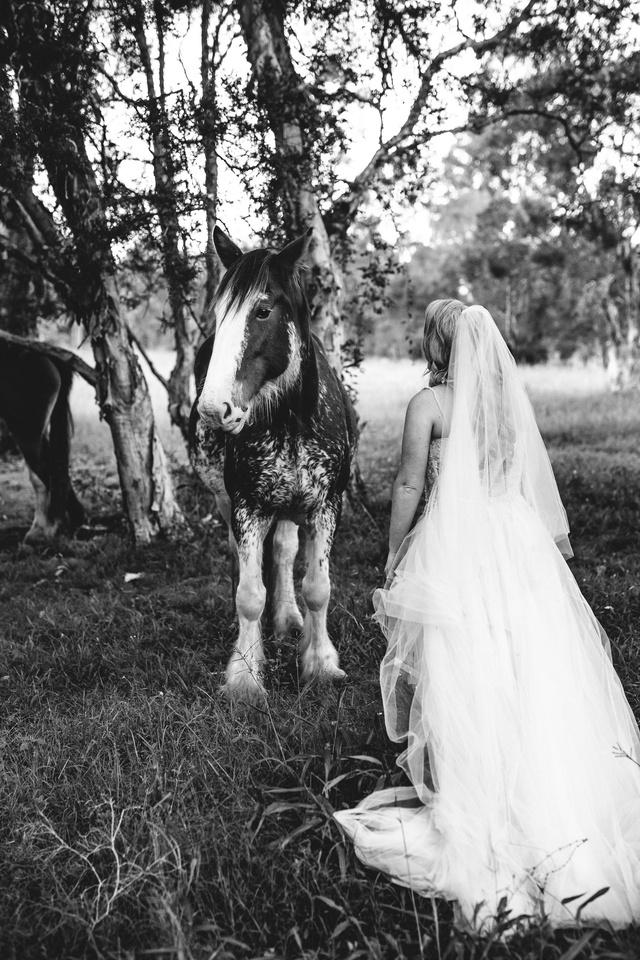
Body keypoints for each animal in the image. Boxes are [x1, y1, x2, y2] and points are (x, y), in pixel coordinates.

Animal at [189, 225, 356, 701]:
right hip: (228, 501)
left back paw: (286, 619)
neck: (293, 421)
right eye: (219, 313)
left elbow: (317, 588)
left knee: (282, 554)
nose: (213, 409)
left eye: (262, 311)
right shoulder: (247, 507)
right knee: (241, 562)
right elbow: (248, 594)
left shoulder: (326, 507)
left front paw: (320, 663)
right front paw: (245, 675)